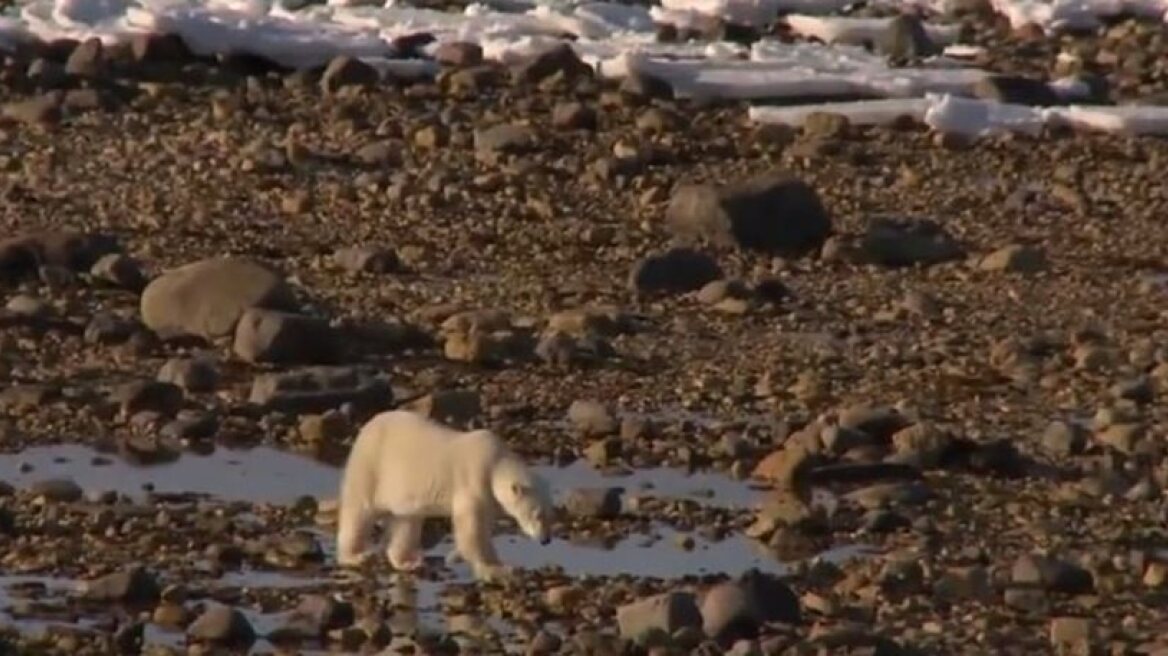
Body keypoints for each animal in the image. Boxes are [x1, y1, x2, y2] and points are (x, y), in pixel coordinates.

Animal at [338, 406, 555, 578]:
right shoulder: (473, 482)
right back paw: (356, 556)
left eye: (550, 514)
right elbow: (472, 529)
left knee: (406, 522)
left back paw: (408, 562)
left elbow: (483, 527)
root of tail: (369, 424)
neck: (494, 462)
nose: (546, 540)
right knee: (359, 510)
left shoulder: (490, 499)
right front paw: (499, 568)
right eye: (537, 514)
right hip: (371, 466)